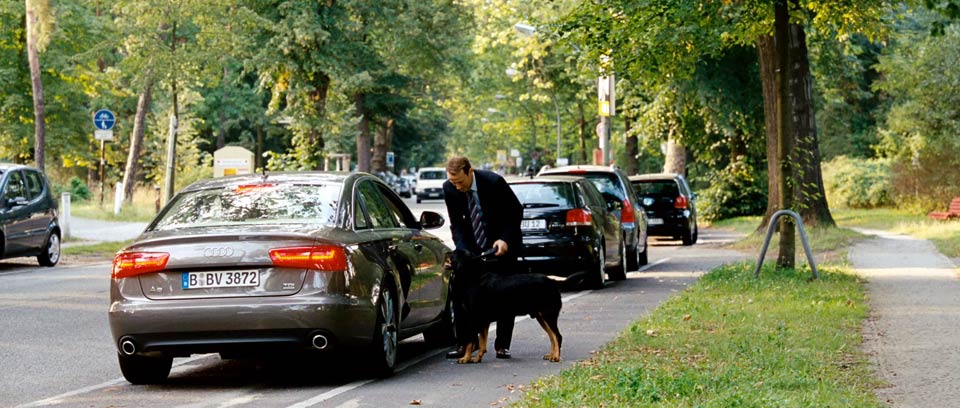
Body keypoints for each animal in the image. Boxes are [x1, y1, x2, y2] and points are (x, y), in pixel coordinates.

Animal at [450, 249, 584, 364]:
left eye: (452, 255)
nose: (446, 253)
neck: (474, 277)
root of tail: (551, 281)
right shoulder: (483, 322)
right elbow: (482, 344)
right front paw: (477, 358)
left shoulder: (473, 320)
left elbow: (470, 342)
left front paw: (465, 358)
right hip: (542, 317)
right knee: (552, 336)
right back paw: (551, 354)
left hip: (548, 315)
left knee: (557, 336)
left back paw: (556, 357)